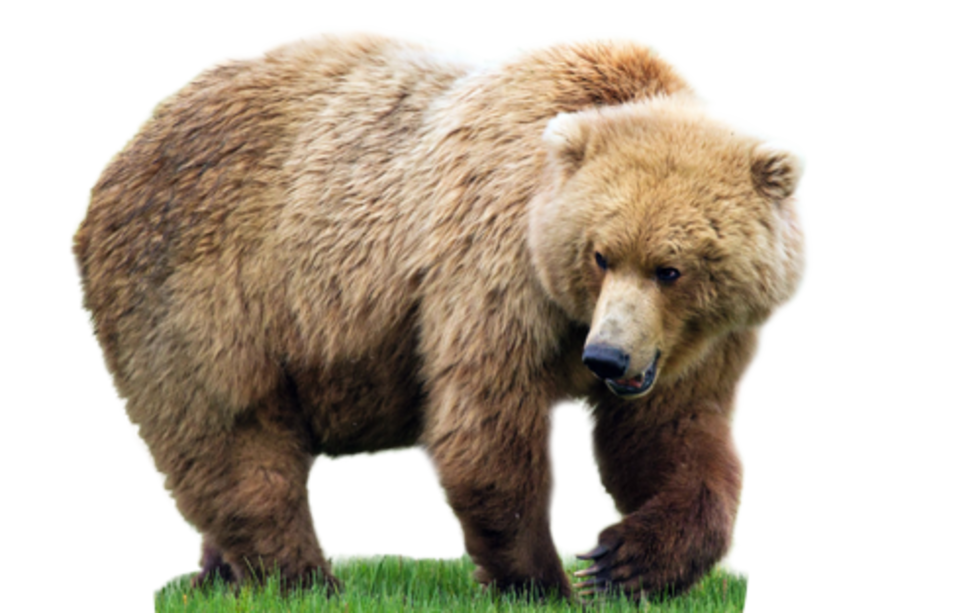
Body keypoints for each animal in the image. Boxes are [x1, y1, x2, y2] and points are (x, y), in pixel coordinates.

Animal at [67, 25, 812, 602]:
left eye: (670, 268)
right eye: (601, 255)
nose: (606, 358)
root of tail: (129, 145)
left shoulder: (698, 340)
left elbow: (673, 434)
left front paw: (622, 560)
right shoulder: (494, 266)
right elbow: (487, 426)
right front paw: (542, 580)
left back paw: (220, 574)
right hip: (203, 284)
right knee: (235, 433)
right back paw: (304, 577)